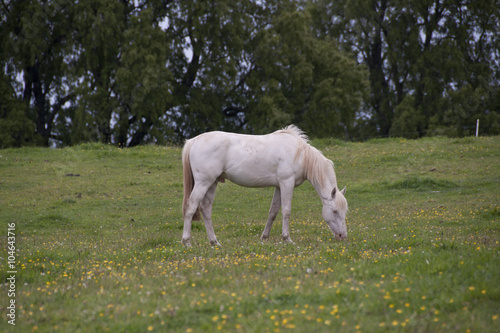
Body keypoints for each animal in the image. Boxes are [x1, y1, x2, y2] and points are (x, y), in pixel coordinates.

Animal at [181, 125, 348, 246]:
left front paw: (265, 237)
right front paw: (287, 238)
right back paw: (186, 241)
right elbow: (286, 211)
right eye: (334, 211)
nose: (342, 236)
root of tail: (193, 141)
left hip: (212, 183)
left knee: (206, 209)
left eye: (344, 211)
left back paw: (214, 242)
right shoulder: (287, 183)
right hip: (203, 183)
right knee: (191, 206)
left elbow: (273, 212)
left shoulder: (279, 186)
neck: (300, 154)